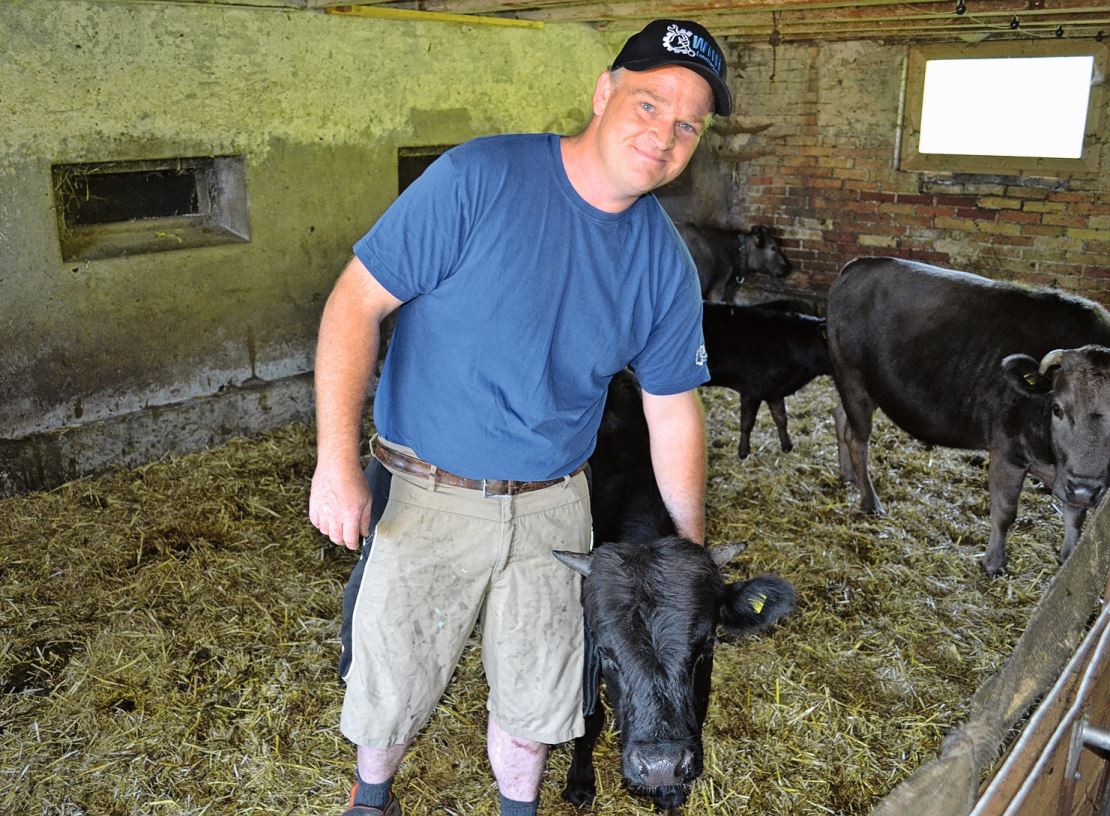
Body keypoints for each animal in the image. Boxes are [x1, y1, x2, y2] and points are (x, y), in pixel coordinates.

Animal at [550, 370, 794, 812]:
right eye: (608, 655)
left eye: (706, 646)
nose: (661, 765)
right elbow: (588, 715)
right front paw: (580, 779)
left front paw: (669, 791)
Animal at [705, 304, 830, 461]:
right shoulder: (751, 390)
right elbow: (747, 422)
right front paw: (743, 453)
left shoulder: (774, 391)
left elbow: (781, 418)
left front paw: (787, 447)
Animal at [830, 258, 1110, 577]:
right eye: (1058, 409)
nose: (1084, 488)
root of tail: (859, 264)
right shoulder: (1007, 451)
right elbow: (1005, 512)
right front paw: (994, 563)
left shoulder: (1074, 474)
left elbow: (1076, 517)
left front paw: (1068, 559)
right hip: (852, 378)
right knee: (857, 439)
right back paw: (870, 501)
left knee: (840, 418)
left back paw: (849, 476)